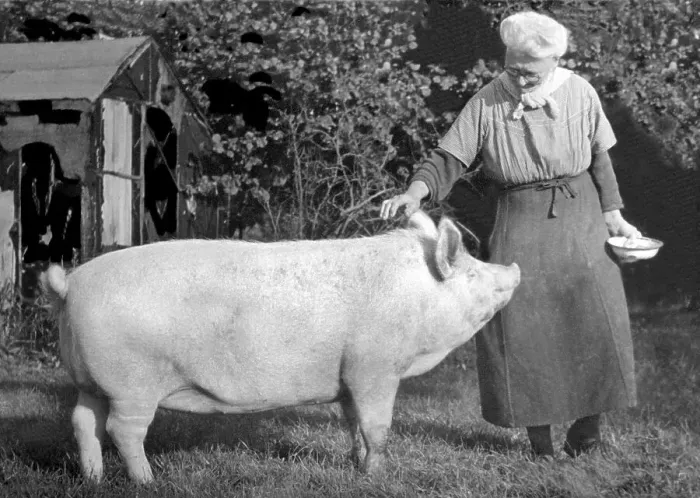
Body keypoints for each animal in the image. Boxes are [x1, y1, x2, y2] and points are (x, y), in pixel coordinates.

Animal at [41, 210, 520, 484]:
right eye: (471, 273)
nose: (513, 269)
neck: (417, 297)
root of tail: (71, 284)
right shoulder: (375, 368)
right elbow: (378, 427)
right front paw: (376, 477)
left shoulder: (348, 376)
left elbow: (353, 423)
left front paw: (355, 464)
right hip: (132, 383)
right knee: (122, 430)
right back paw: (147, 482)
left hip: (92, 380)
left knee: (83, 422)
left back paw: (94, 481)